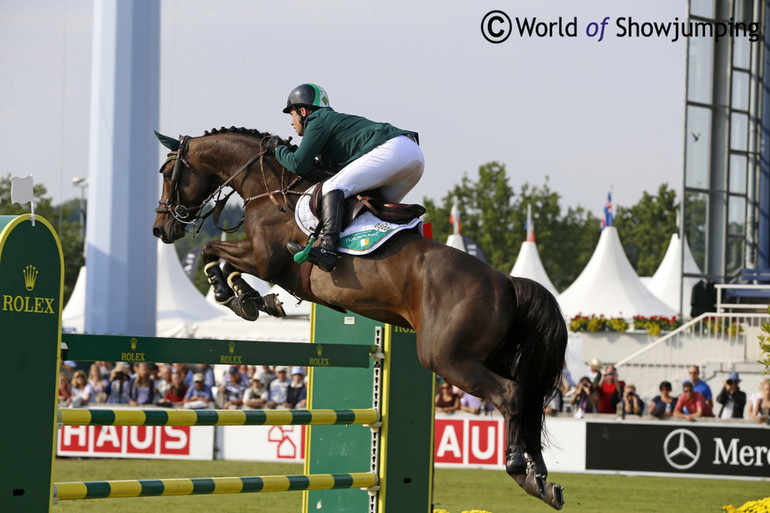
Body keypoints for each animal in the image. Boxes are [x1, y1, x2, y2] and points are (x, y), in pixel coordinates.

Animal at [153, 127, 568, 508]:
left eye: (168, 172)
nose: (162, 228)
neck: (268, 190)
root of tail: (507, 282)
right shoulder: (259, 259)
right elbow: (223, 260)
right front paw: (254, 299)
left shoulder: (263, 259)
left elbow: (212, 251)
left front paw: (232, 294)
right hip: (493, 357)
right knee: (528, 400)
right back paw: (541, 481)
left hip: (447, 358)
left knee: (509, 395)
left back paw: (518, 469)